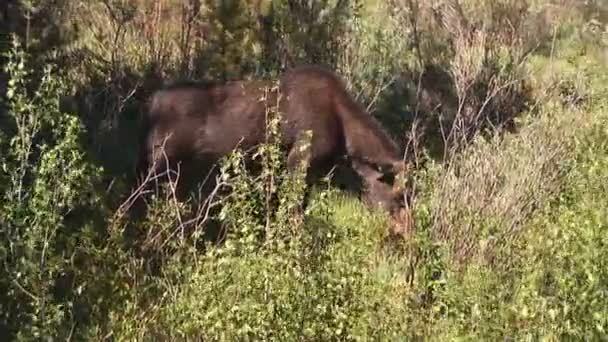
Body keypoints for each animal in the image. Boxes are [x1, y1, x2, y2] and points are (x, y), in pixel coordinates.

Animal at [134, 64, 414, 236]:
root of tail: (150, 106)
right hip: (160, 164)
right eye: (399, 198)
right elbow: (294, 213)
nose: (408, 232)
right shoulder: (298, 160)